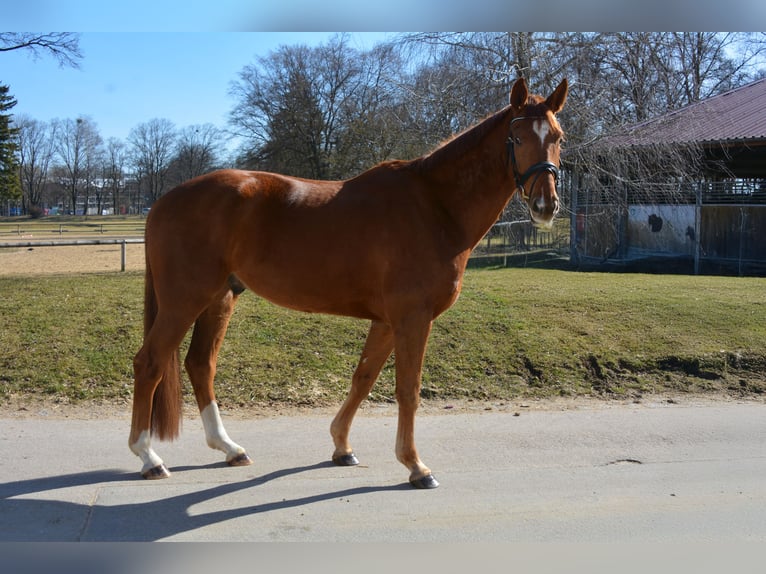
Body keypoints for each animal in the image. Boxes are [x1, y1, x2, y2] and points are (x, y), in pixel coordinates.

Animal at [129, 77, 568, 489]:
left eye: (558, 137)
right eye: (517, 137)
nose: (545, 205)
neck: (434, 206)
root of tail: (164, 201)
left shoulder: (387, 321)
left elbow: (363, 378)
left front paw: (342, 446)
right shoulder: (412, 318)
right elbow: (407, 389)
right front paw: (415, 465)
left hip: (220, 297)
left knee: (200, 364)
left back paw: (229, 448)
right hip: (184, 300)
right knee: (149, 362)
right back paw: (148, 457)